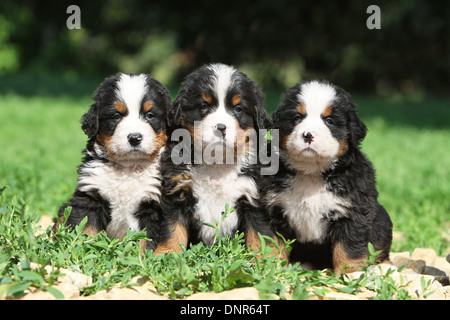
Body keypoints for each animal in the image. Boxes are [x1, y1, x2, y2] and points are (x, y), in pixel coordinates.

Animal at [54, 72, 171, 250]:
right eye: (116, 115)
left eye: (149, 115)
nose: (134, 138)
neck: (127, 168)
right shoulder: (91, 196)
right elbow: (85, 230)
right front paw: (83, 250)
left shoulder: (152, 205)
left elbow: (146, 241)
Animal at [153, 63, 276, 255]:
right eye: (204, 105)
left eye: (238, 109)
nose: (221, 127)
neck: (217, 162)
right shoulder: (177, 192)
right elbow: (172, 230)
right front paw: (166, 254)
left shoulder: (254, 196)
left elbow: (258, 234)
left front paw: (264, 259)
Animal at [262, 80, 392, 272]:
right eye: (297, 117)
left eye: (329, 121)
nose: (308, 134)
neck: (311, 173)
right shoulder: (273, 209)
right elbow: (272, 243)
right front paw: (272, 267)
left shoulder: (353, 212)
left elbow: (349, 247)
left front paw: (350, 272)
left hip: (382, 220)